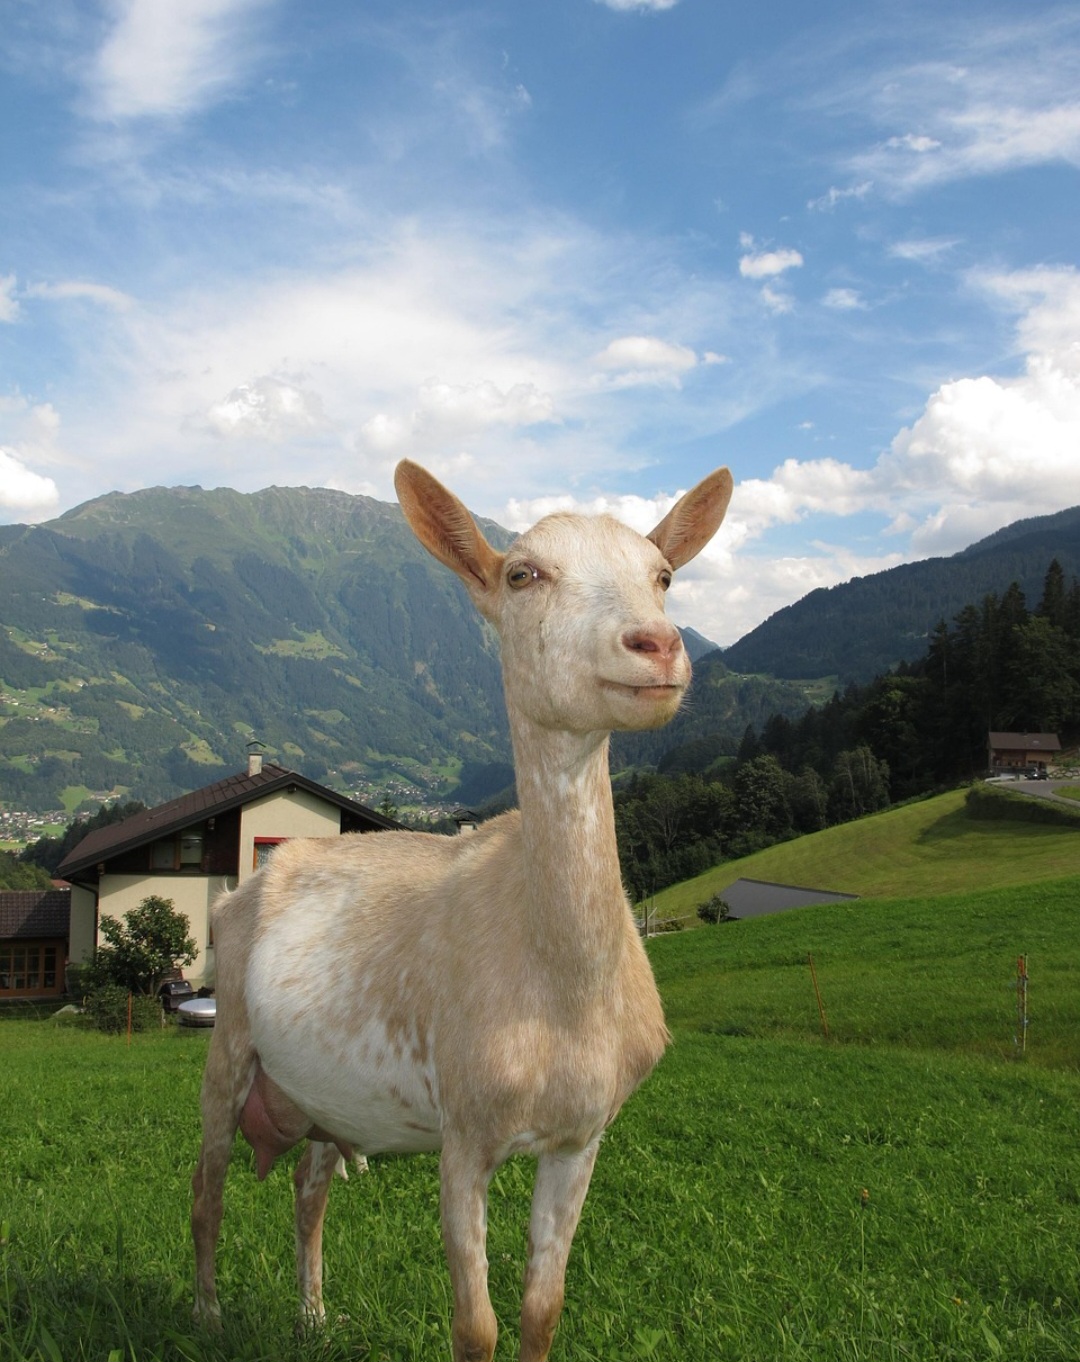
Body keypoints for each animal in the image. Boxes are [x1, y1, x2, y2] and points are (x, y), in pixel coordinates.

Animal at [191, 458, 733, 1362]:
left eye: (663, 574)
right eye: (523, 575)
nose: (657, 645)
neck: (557, 988)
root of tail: (258, 876)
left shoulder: (582, 1137)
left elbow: (542, 1309)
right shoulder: (464, 1130)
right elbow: (473, 1327)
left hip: (324, 1098)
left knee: (308, 1186)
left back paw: (312, 1315)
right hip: (227, 1041)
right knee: (208, 1187)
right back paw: (209, 1312)